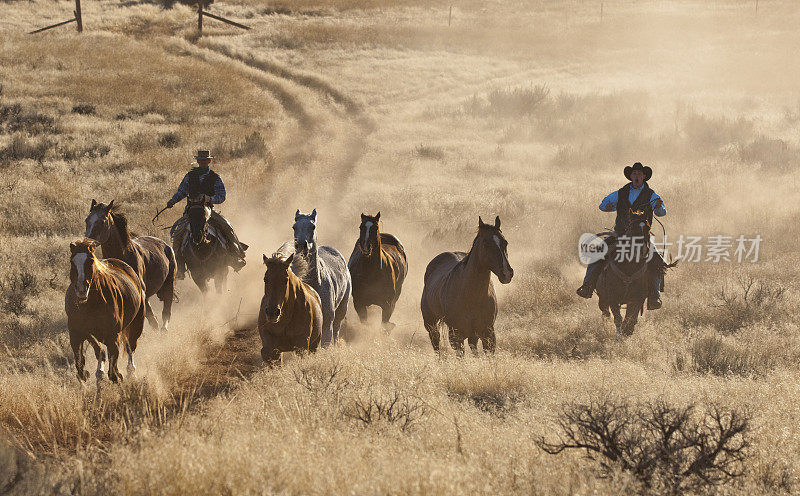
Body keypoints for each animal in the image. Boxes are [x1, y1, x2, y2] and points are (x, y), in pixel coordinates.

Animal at [65, 238, 146, 382]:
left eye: (91, 260)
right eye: (72, 261)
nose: (81, 289)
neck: (89, 305)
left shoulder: (112, 335)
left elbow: (113, 371)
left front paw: (117, 376)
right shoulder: (76, 333)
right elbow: (81, 365)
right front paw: (90, 373)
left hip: (137, 323)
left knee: (130, 347)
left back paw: (131, 371)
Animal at [85, 200, 176, 332]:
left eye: (102, 221)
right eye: (87, 220)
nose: (87, 243)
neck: (123, 255)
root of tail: (166, 245)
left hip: (169, 282)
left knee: (167, 307)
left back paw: (163, 329)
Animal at [292, 208, 352, 344]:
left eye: (313, 226)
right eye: (294, 227)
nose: (301, 245)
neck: (314, 284)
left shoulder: (327, 324)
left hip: (342, 309)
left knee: (336, 330)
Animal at [418, 217, 512, 356]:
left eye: (505, 242)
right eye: (486, 243)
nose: (507, 273)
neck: (471, 296)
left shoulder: (488, 334)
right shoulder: (456, 337)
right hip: (431, 324)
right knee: (436, 346)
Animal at [596, 207, 672, 336]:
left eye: (648, 228)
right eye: (632, 228)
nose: (643, 250)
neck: (629, 268)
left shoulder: (637, 298)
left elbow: (630, 319)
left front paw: (627, 331)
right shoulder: (612, 297)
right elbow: (618, 318)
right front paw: (619, 335)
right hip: (602, 297)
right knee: (605, 313)